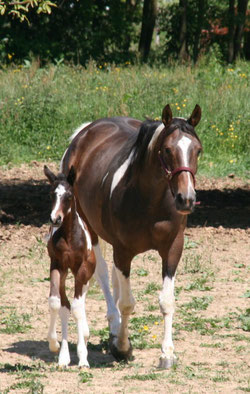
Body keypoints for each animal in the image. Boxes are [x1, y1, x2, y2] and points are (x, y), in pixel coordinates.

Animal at [44, 165, 96, 368]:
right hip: (66, 273)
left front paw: (83, 358)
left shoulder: (82, 269)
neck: (69, 237)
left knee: (78, 304)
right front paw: (54, 345)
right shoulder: (57, 265)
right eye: (52, 194)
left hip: (85, 272)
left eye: (68, 195)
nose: (55, 219)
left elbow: (77, 307)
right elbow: (55, 303)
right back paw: (64, 357)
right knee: (65, 306)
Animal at [59, 103, 202, 368]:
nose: (186, 199)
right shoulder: (123, 251)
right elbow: (126, 303)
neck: (150, 199)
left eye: (198, 150)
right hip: (90, 230)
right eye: (167, 150)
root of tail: (86, 131)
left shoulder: (173, 249)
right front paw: (123, 347)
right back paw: (115, 329)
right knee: (104, 274)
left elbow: (167, 301)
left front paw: (167, 354)